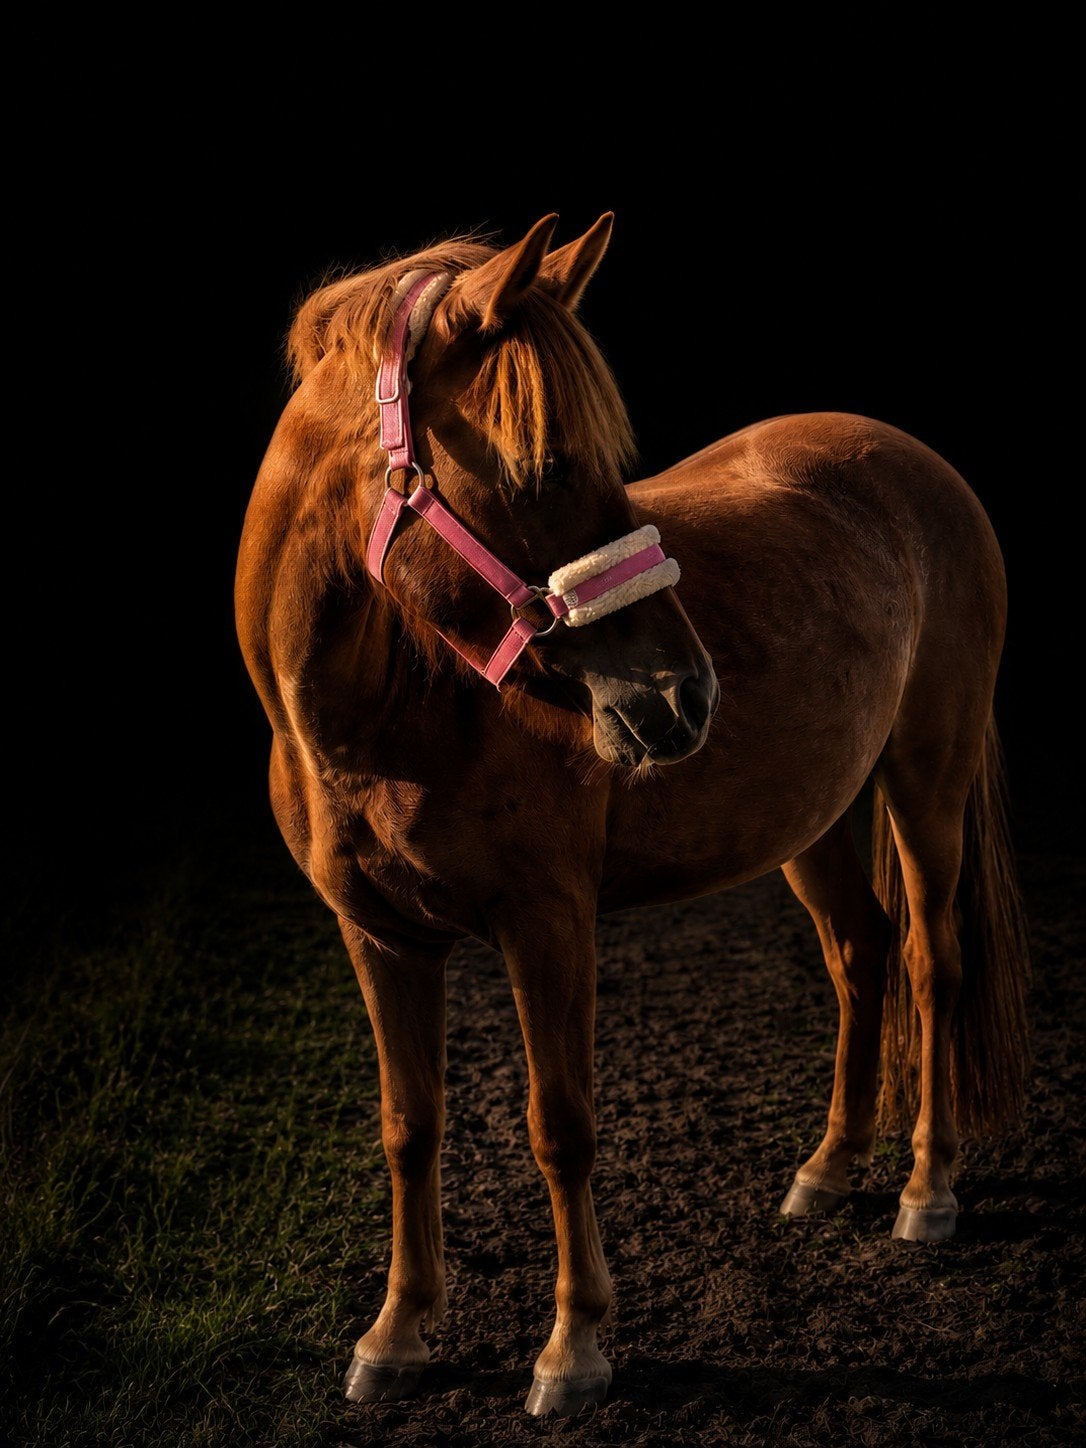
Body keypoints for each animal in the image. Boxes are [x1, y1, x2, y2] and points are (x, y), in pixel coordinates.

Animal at [234, 212, 1031, 1418]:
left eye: (607, 464)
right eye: (542, 467)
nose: (686, 696)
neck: (391, 709)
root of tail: (911, 460)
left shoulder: (549, 924)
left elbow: (560, 1127)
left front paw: (573, 1348)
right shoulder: (378, 937)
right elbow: (410, 1127)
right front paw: (397, 1334)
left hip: (925, 779)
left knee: (931, 962)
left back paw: (925, 1192)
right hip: (811, 822)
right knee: (862, 953)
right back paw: (829, 1169)